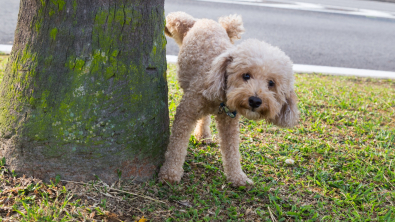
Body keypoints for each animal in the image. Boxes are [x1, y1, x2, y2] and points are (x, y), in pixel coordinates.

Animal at [159, 11, 298, 186]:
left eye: (271, 83)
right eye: (246, 75)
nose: (255, 101)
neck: (221, 100)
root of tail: (208, 21)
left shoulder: (229, 122)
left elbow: (232, 151)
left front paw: (238, 177)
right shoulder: (186, 111)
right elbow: (177, 145)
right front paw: (170, 172)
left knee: (205, 118)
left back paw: (203, 135)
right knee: (176, 17)